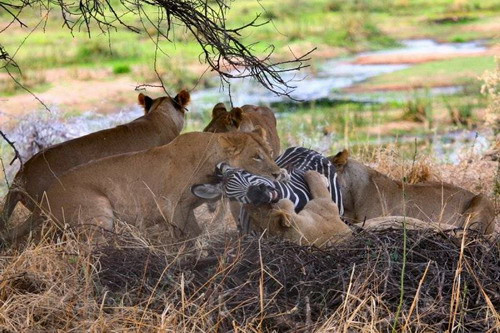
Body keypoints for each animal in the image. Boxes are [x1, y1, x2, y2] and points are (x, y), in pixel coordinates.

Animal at [0, 128, 286, 243]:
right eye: (256, 157)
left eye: (270, 153)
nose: (278, 174)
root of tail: (44, 201)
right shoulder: (169, 205)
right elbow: (183, 236)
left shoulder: (187, 208)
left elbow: (194, 231)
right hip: (98, 211)